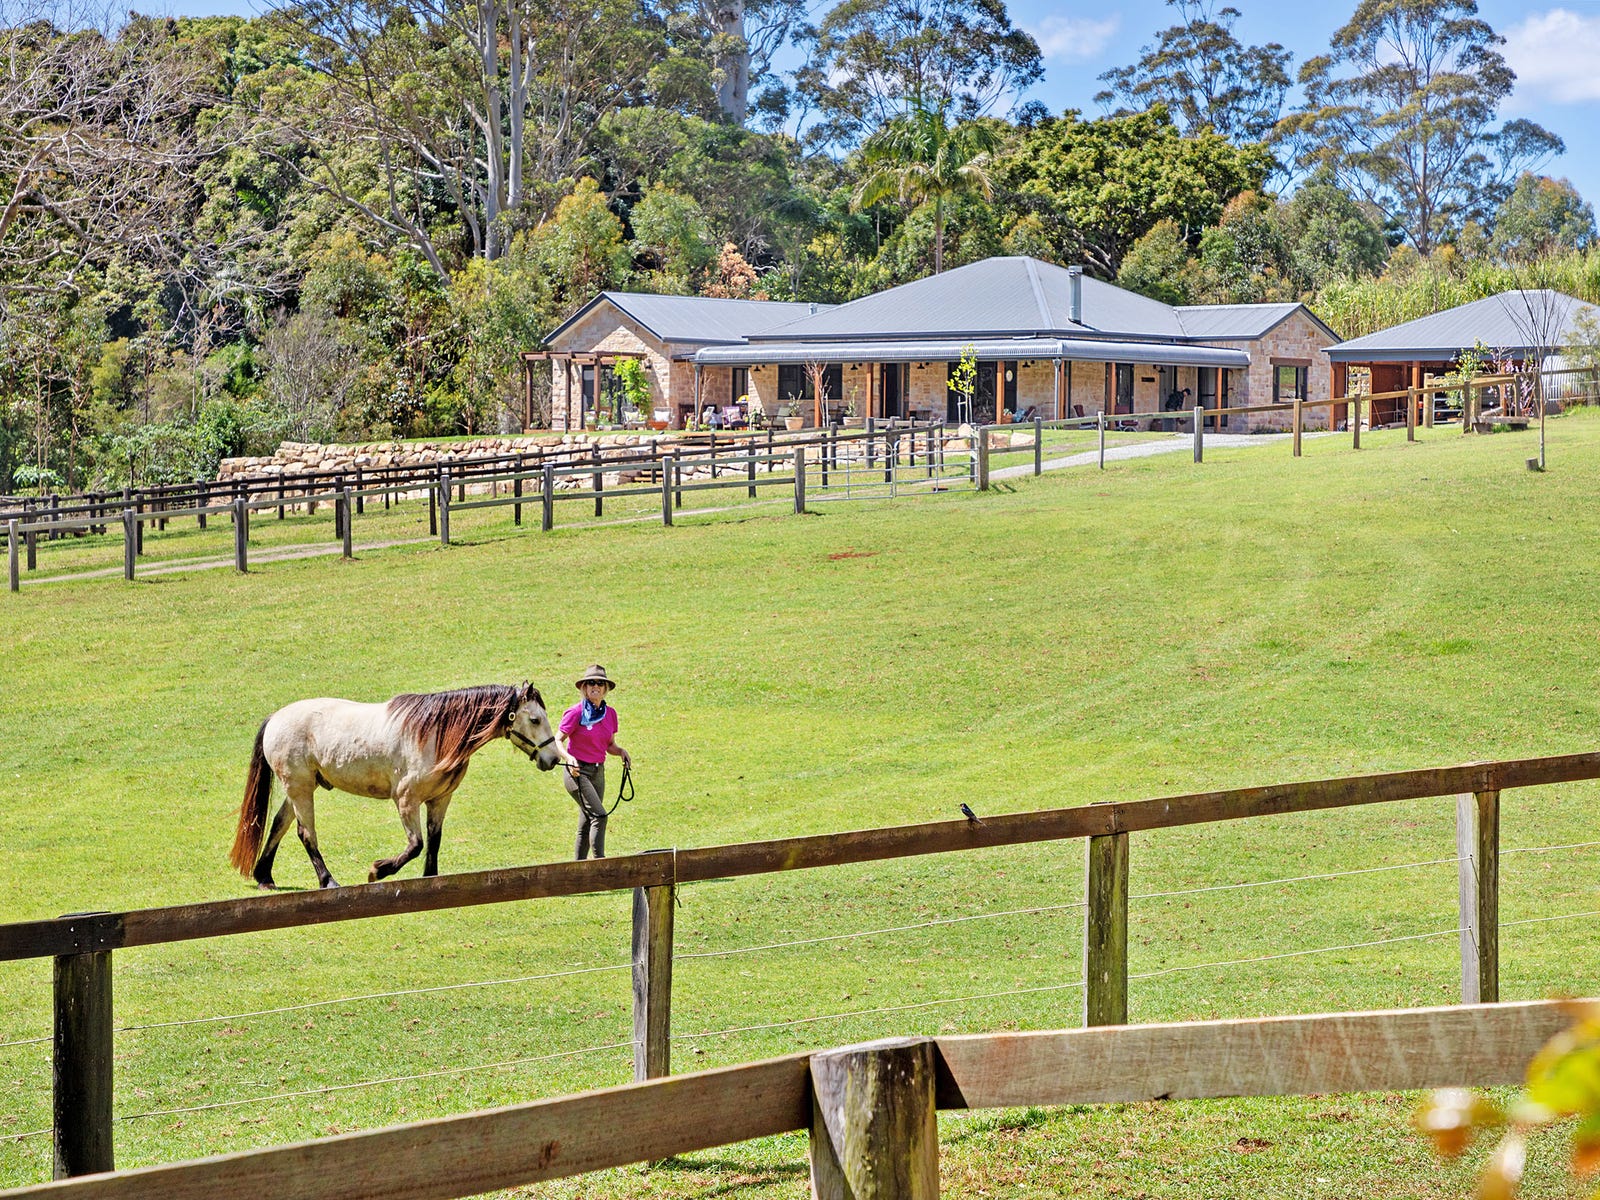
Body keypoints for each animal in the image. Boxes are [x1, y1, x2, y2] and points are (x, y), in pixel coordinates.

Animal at [229, 682, 567, 889]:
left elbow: (434, 841)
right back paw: (328, 881)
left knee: (280, 824)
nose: (552, 758)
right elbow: (416, 845)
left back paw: (265, 876)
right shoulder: (405, 799)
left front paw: (430, 879)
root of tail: (276, 717)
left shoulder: (439, 800)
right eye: (535, 719)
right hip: (299, 788)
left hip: (300, 788)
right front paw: (378, 870)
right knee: (305, 833)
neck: (435, 735)